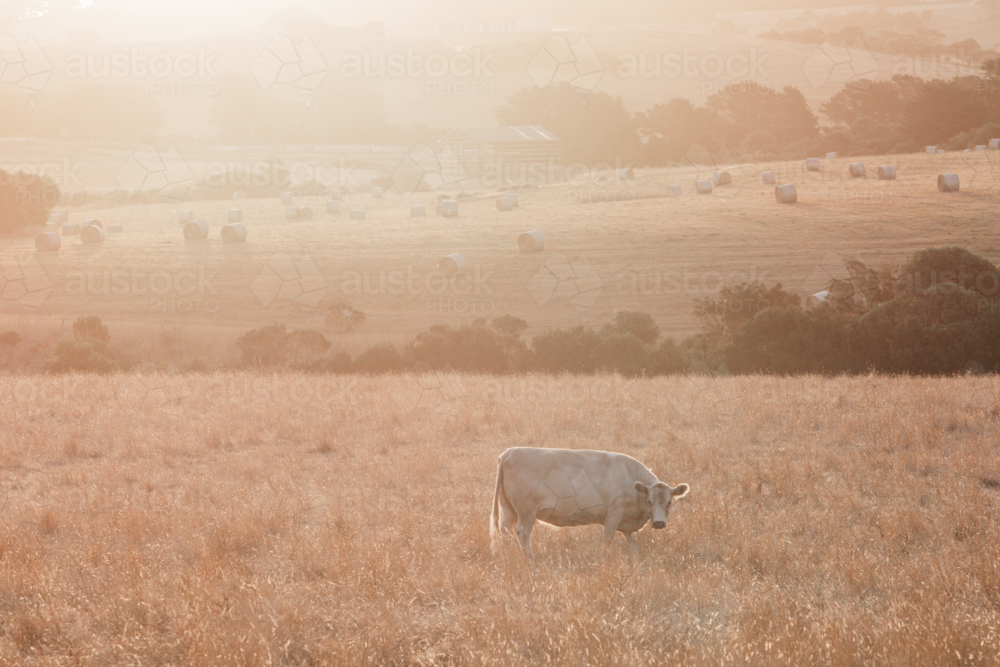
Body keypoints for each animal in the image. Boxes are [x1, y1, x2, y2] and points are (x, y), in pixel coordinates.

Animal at [490, 447, 690, 557]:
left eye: (669, 502)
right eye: (649, 501)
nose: (659, 523)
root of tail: (510, 451)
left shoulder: (627, 523)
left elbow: (632, 545)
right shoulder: (614, 515)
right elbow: (608, 539)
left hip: (509, 510)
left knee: (505, 530)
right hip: (526, 513)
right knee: (522, 533)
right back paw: (529, 557)